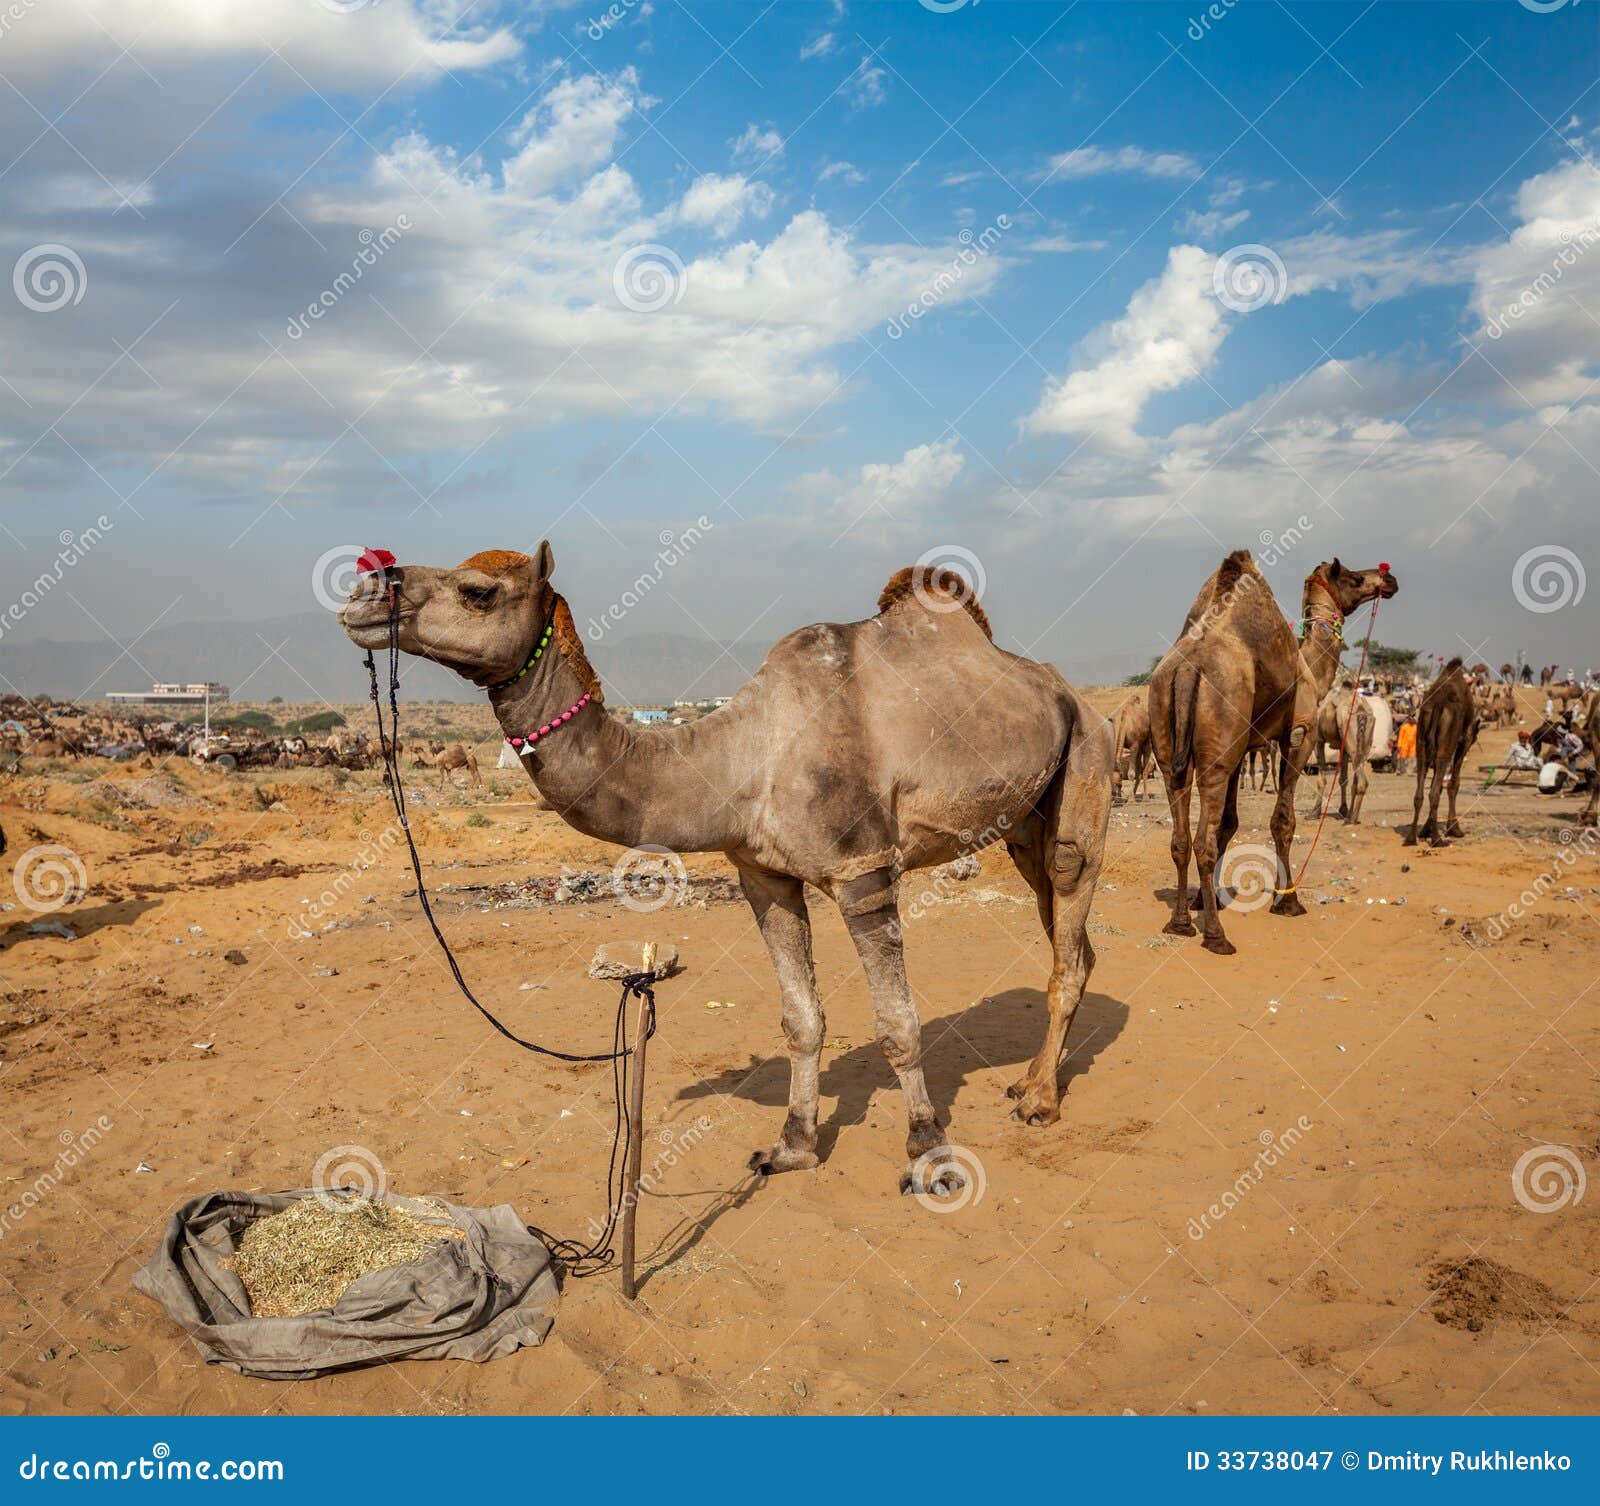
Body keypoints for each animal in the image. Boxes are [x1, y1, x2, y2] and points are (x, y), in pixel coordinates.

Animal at [337, 540, 1113, 1184]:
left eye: (476, 591)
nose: (366, 588)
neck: (745, 756)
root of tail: (1074, 696)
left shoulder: (862, 871)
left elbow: (899, 1024)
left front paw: (927, 1152)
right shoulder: (763, 876)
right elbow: (802, 1019)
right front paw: (792, 1146)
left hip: (1086, 767)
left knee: (1069, 928)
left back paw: (1040, 1102)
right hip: (1022, 827)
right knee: (1070, 941)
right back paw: (1027, 1080)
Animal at [1145, 553, 1395, 953]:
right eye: (1355, 578)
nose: (1388, 580)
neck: (1311, 672)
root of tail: (1187, 670)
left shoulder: (1242, 747)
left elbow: (1228, 824)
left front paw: (1205, 898)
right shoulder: (1299, 735)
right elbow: (1282, 821)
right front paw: (1288, 901)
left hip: (1170, 743)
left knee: (1181, 837)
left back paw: (1180, 924)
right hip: (1217, 751)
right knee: (1202, 843)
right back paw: (1216, 936)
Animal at [1408, 659, 1478, 845]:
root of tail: (1438, 704)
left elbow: (1438, 785)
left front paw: (1425, 829)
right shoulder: (1465, 740)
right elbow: (1453, 784)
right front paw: (1455, 829)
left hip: (1422, 742)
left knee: (1420, 793)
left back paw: (1411, 837)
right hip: (1446, 744)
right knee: (1434, 791)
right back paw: (1437, 840)